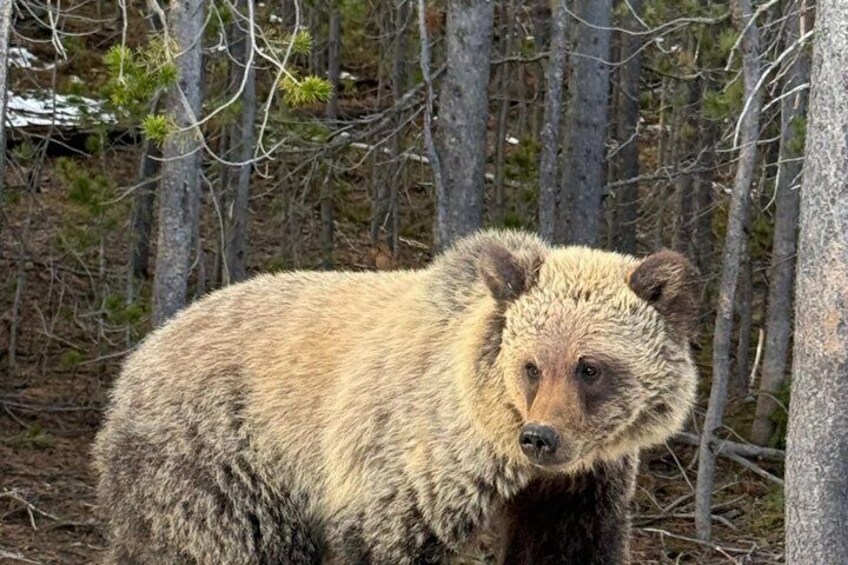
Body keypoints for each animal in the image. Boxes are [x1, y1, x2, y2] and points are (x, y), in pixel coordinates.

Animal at [92, 229, 699, 564]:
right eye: (531, 366)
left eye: (588, 367)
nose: (541, 437)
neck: (497, 445)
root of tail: (139, 355)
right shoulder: (409, 465)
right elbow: (388, 535)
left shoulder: (578, 487)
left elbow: (567, 547)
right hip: (220, 464)